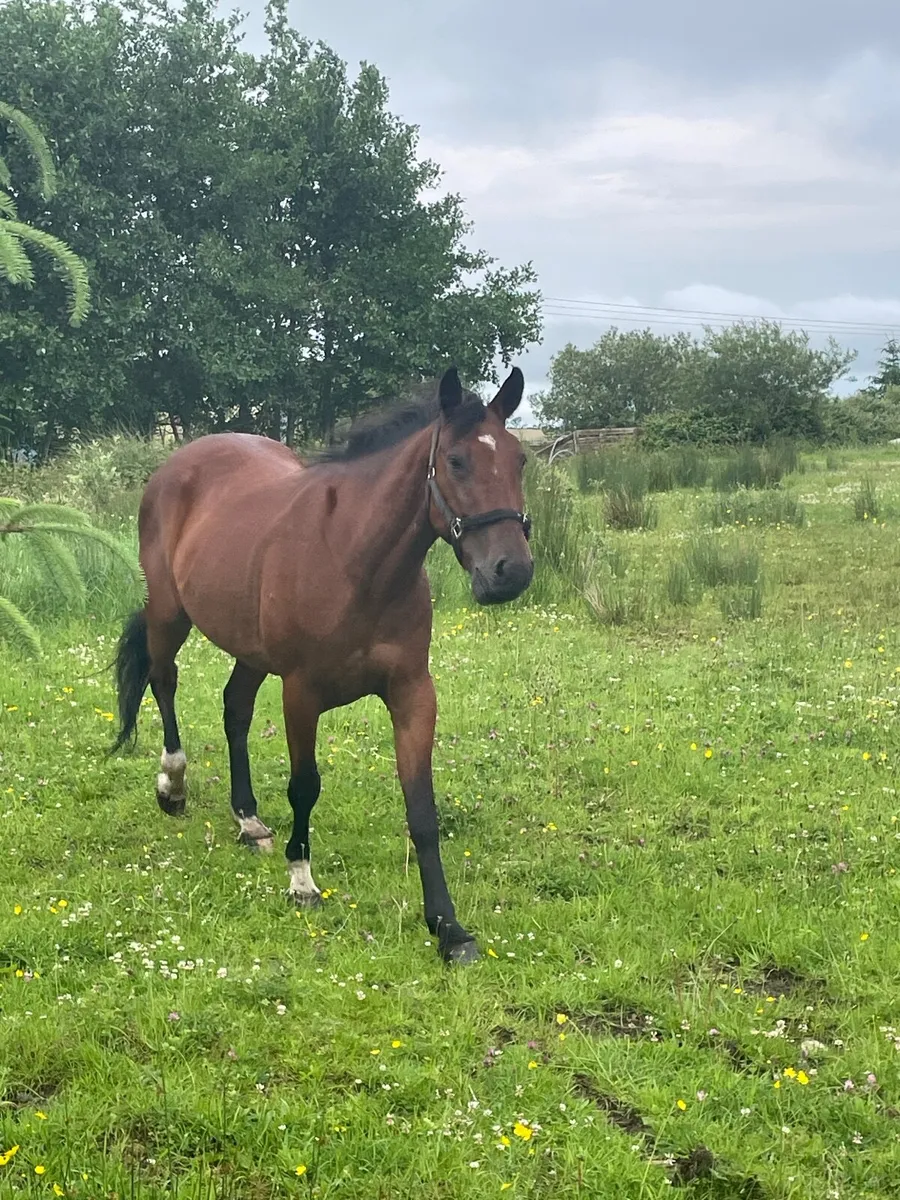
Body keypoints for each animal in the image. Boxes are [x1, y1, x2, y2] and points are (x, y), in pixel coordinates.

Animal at [111, 367, 533, 963]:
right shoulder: (301, 692)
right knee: (164, 681)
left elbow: (422, 808)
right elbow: (304, 785)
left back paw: (249, 821)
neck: (356, 559)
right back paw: (173, 786)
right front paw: (302, 881)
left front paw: (448, 928)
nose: (510, 572)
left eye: (519, 460)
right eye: (456, 461)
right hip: (170, 616)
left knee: (235, 709)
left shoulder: (412, 692)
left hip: (249, 650)